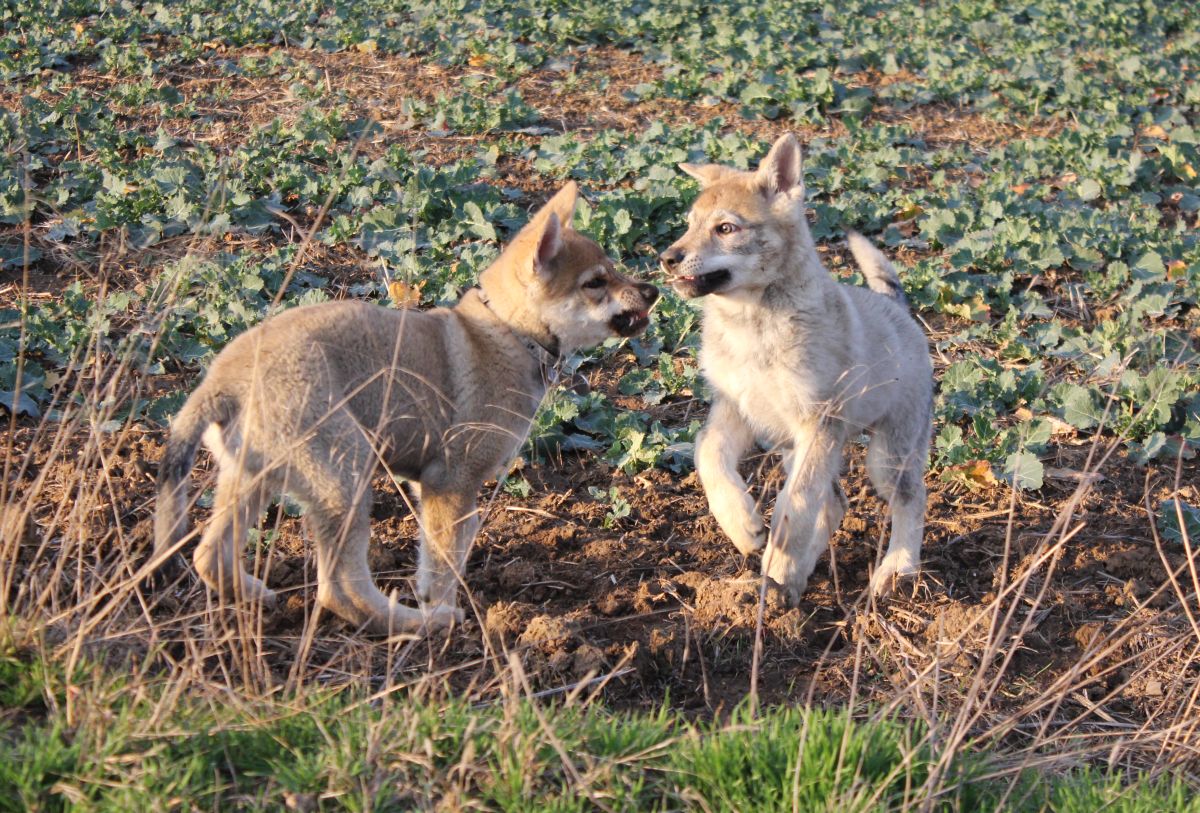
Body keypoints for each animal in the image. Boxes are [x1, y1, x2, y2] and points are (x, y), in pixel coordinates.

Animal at [154, 184, 662, 637]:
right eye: (596, 283)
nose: (654, 290)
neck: (507, 333)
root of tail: (221, 382)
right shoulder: (450, 484)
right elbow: (443, 564)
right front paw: (444, 608)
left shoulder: (440, 489)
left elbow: (446, 554)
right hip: (346, 479)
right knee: (339, 591)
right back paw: (418, 625)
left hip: (253, 481)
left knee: (210, 555)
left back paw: (258, 597)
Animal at [662, 133, 931, 604]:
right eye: (690, 224)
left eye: (725, 228)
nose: (667, 258)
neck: (750, 327)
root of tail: (899, 307)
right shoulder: (735, 409)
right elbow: (707, 456)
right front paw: (743, 526)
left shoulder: (816, 425)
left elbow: (796, 506)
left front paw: (779, 557)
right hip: (798, 449)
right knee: (836, 504)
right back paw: (795, 574)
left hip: (887, 457)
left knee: (911, 498)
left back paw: (896, 570)